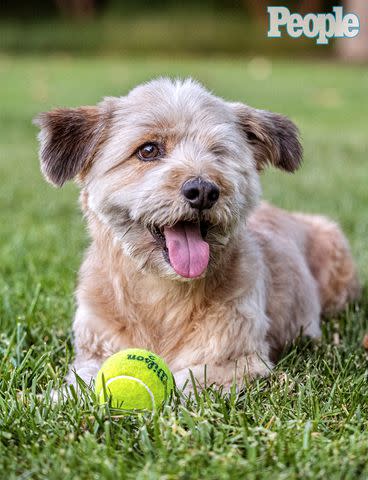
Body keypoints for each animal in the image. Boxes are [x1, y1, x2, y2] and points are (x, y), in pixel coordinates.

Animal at [34, 79, 360, 392]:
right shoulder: (94, 352)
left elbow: (178, 387)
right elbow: (85, 384)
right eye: (148, 150)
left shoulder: (239, 360)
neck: (162, 294)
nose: (203, 190)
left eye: (218, 153)